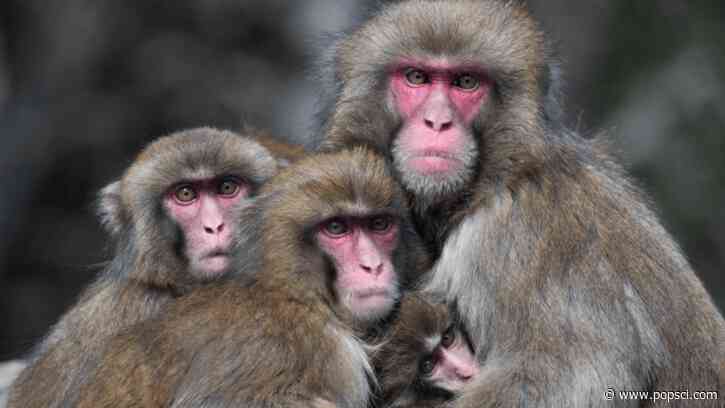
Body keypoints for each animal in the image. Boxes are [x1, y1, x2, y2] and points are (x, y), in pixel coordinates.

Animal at [319, 1, 725, 406]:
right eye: (416, 77)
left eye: (466, 82)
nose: (437, 122)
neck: (492, 181)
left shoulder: (508, 238)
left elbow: (565, 375)